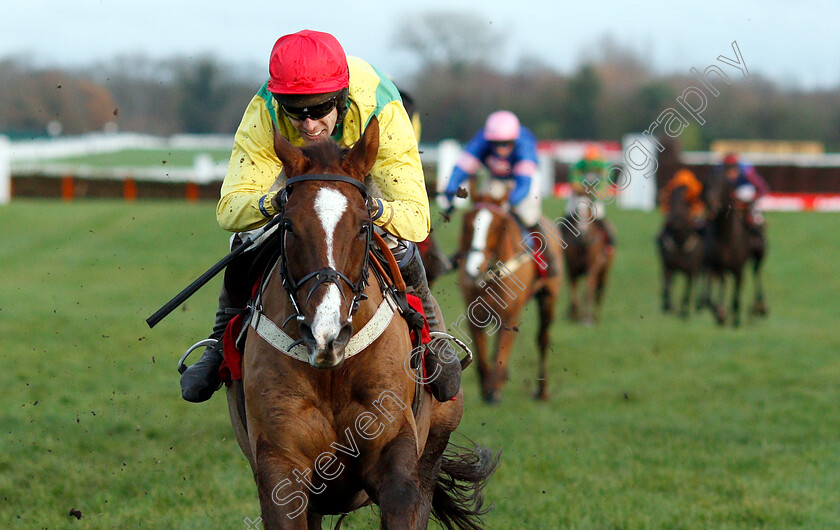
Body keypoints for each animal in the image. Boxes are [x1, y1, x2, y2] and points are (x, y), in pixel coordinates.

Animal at [226, 117, 496, 524]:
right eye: (288, 226)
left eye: (364, 225)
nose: (326, 335)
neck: (331, 373)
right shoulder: (280, 467)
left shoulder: (395, 455)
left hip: (435, 441)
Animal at [456, 196, 560, 402]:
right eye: (468, 224)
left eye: (497, 227)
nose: (473, 269)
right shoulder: (475, 314)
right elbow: (481, 357)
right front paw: (487, 389)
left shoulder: (509, 315)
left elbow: (501, 353)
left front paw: (494, 391)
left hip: (548, 299)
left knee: (543, 340)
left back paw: (542, 391)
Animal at [652, 186, 704, 316]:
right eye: (670, 200)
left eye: (686, 202)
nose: (674, 219)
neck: (680, 243)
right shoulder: (668, 266)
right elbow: (667, 286)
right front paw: (668, 307)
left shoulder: (692, 270)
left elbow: (687, 291)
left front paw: (684, 312)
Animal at [704, 171, 768, 324]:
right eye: (706, 183)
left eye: (721, 184)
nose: (711, 204)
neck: (726, 236)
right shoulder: (714, 265)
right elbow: (710, 297)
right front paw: (720, 313)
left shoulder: (738, 269)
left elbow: (736, 299)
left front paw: (735, 318)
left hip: (759, 254)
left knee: (757, 271)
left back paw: (759, 306)